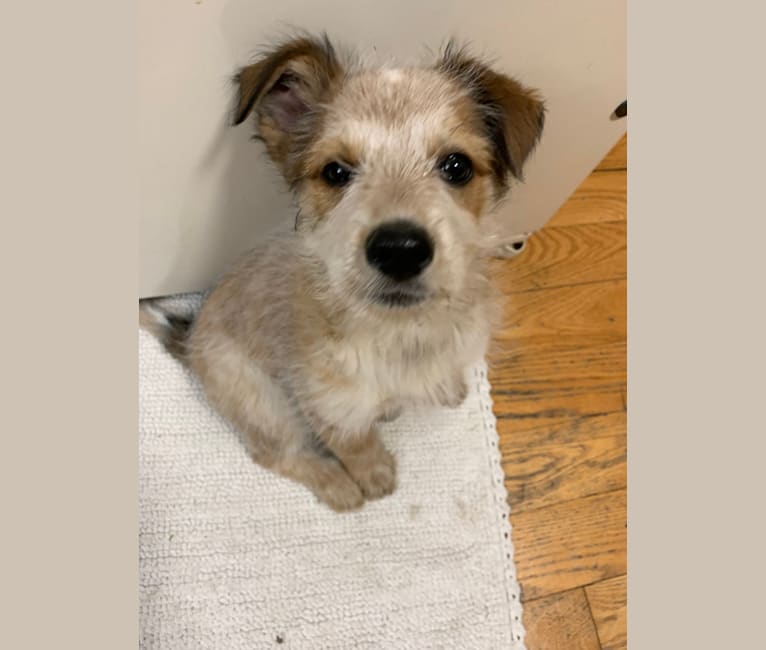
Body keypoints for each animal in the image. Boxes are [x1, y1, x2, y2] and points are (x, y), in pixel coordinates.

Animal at [140, 34, 544, 512]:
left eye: (457, 166)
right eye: (335, 171)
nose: (399, 250)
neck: (402, 334)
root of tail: (189, 341)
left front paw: (448, 387)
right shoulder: (330, 405)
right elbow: (356, 446)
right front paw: (374, 477)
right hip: (264, 404)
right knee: (274, 454)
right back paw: (335, 483)